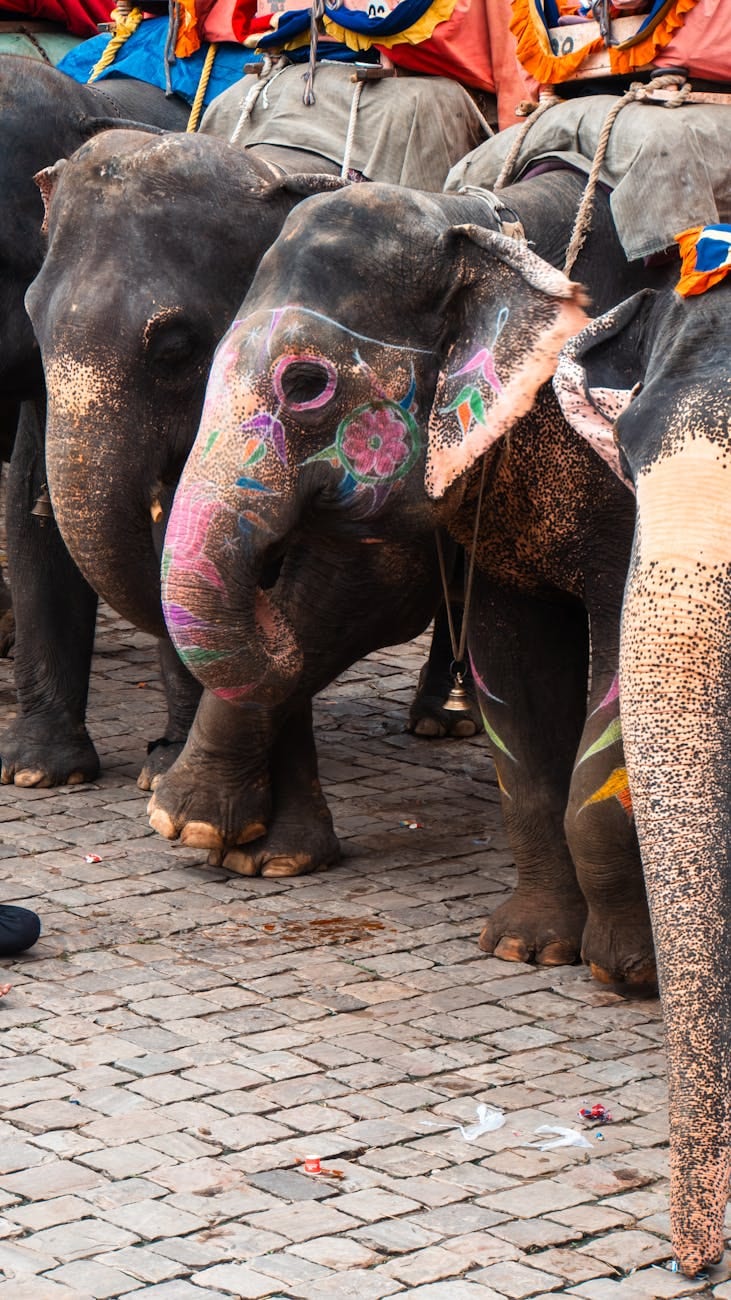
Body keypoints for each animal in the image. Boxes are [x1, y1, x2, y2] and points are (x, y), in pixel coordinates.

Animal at [152, 178, 731, 1276]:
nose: (166, 812)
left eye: (304, 384)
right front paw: (526, 951)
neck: (478, 220)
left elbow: (604, 691)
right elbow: (510, 685)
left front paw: (620, 970)